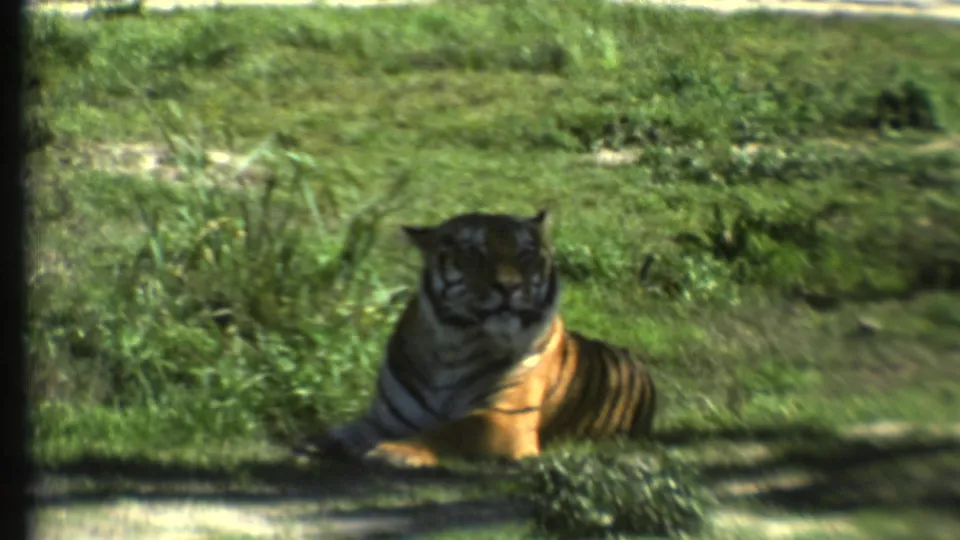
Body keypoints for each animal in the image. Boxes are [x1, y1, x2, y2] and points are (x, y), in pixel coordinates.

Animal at [293, 209, 657, 468]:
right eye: (474, 254)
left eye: (525, 255)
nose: (509, 286)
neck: (451, 348)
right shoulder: (385, 417)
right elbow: (346, 429)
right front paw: (315, 443)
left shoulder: (504, 418)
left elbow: (448, 430)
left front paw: (395, 451)